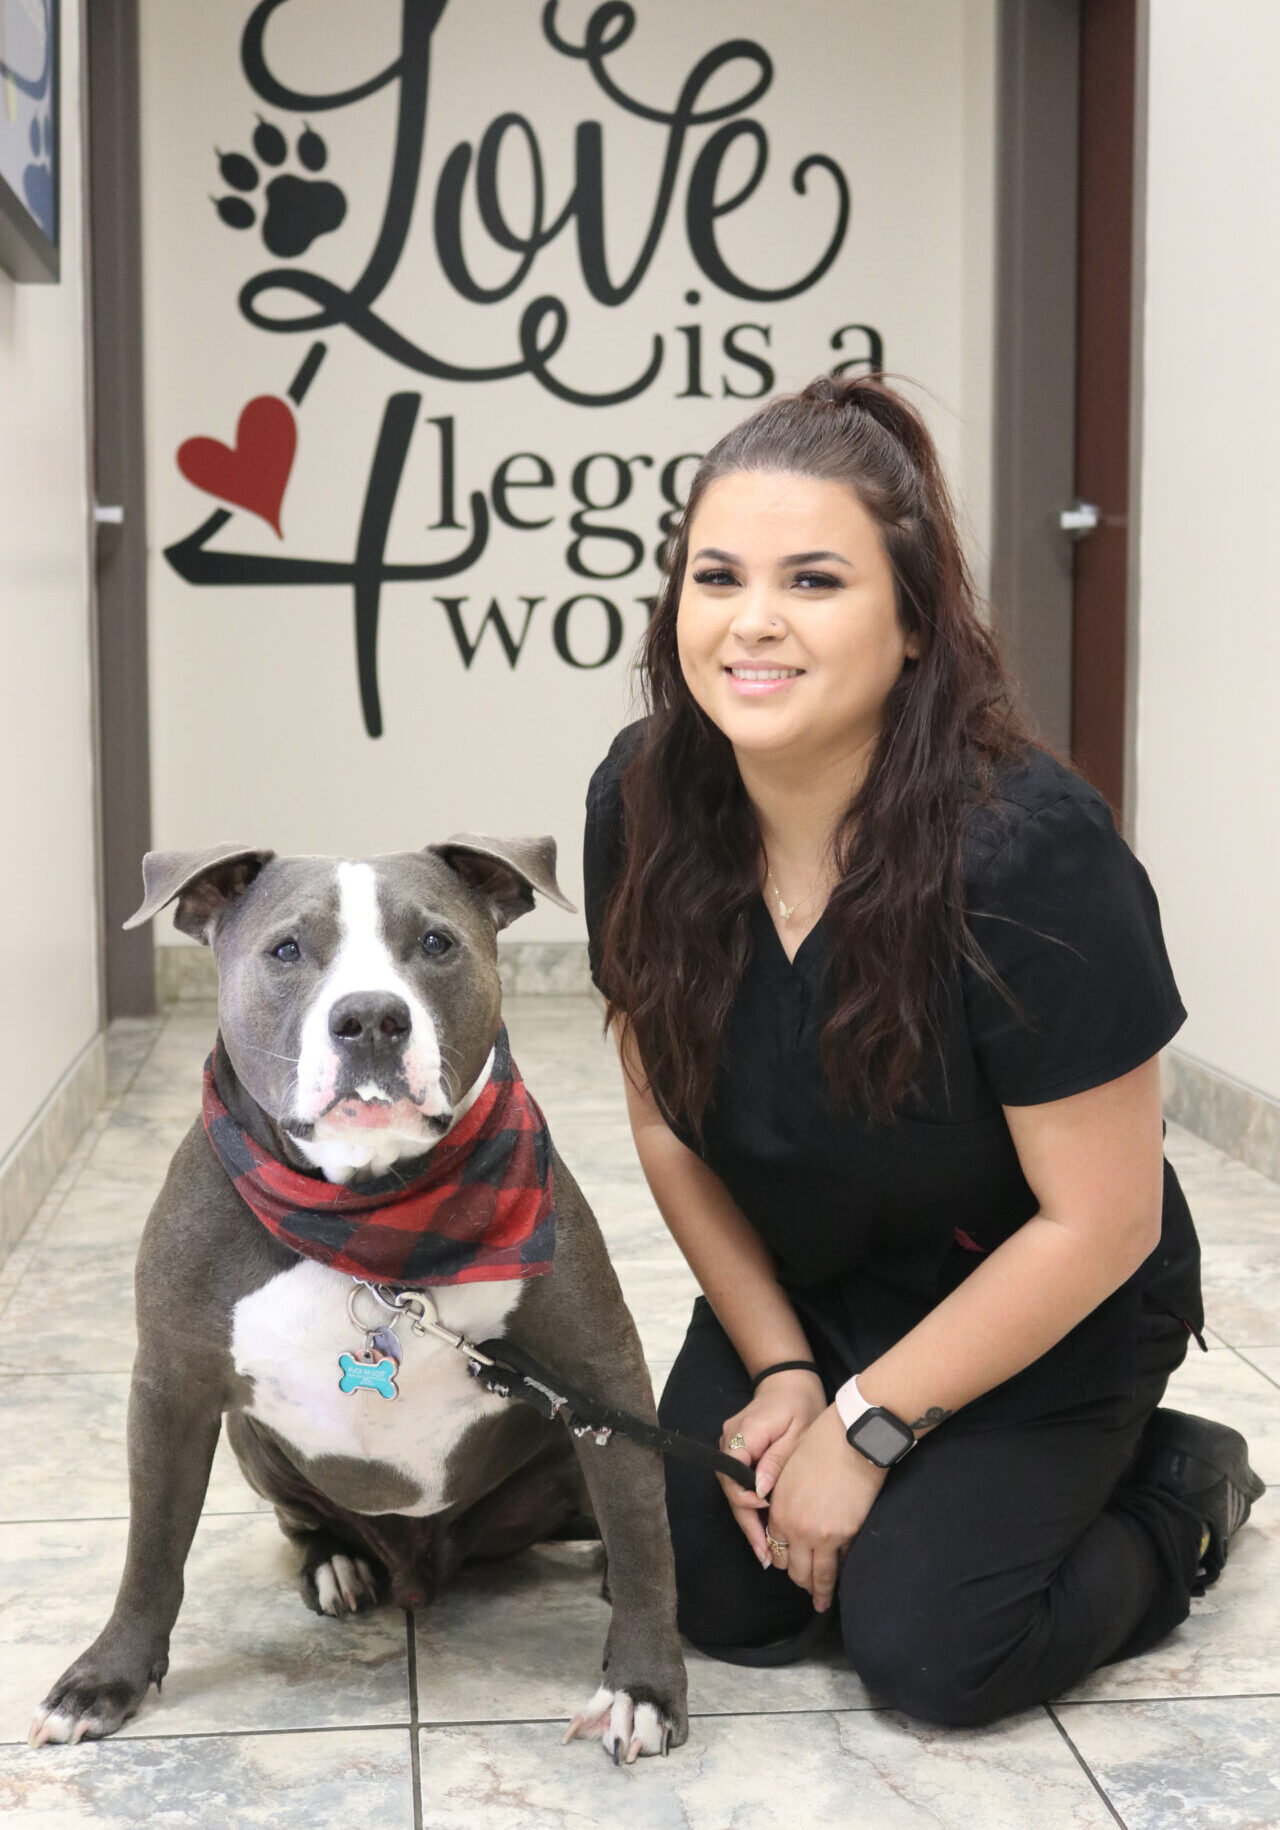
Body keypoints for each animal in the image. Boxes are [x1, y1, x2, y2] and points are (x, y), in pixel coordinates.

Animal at [27, 838, 692, 1756]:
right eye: (286, 950)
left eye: (437, 943)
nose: (371, 1017)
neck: (367, 1216)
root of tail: (423, 1563)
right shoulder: (170, 1387)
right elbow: (151, 1548)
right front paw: (105, 1678)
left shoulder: (601, 1375)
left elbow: (641, 1537)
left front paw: (643, 1687)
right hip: (252, 1442)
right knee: (307, 1524)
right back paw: (338, 1565)